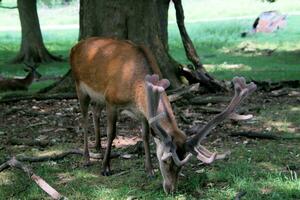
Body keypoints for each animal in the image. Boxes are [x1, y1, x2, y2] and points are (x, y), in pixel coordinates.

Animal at [70, 37, 255, 194]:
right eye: (166, 161)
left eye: (181, 166)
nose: (171, 190)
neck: (134, 87)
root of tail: (76, 46)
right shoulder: (111, 100)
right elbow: (111, 133)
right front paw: (105, 168)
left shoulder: (143, 112)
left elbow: (145, 136)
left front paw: (149, 169)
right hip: (80, 87)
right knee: (84, 118)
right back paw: (87, 158)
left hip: (97, 97)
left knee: (95, 111)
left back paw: (97, 146)